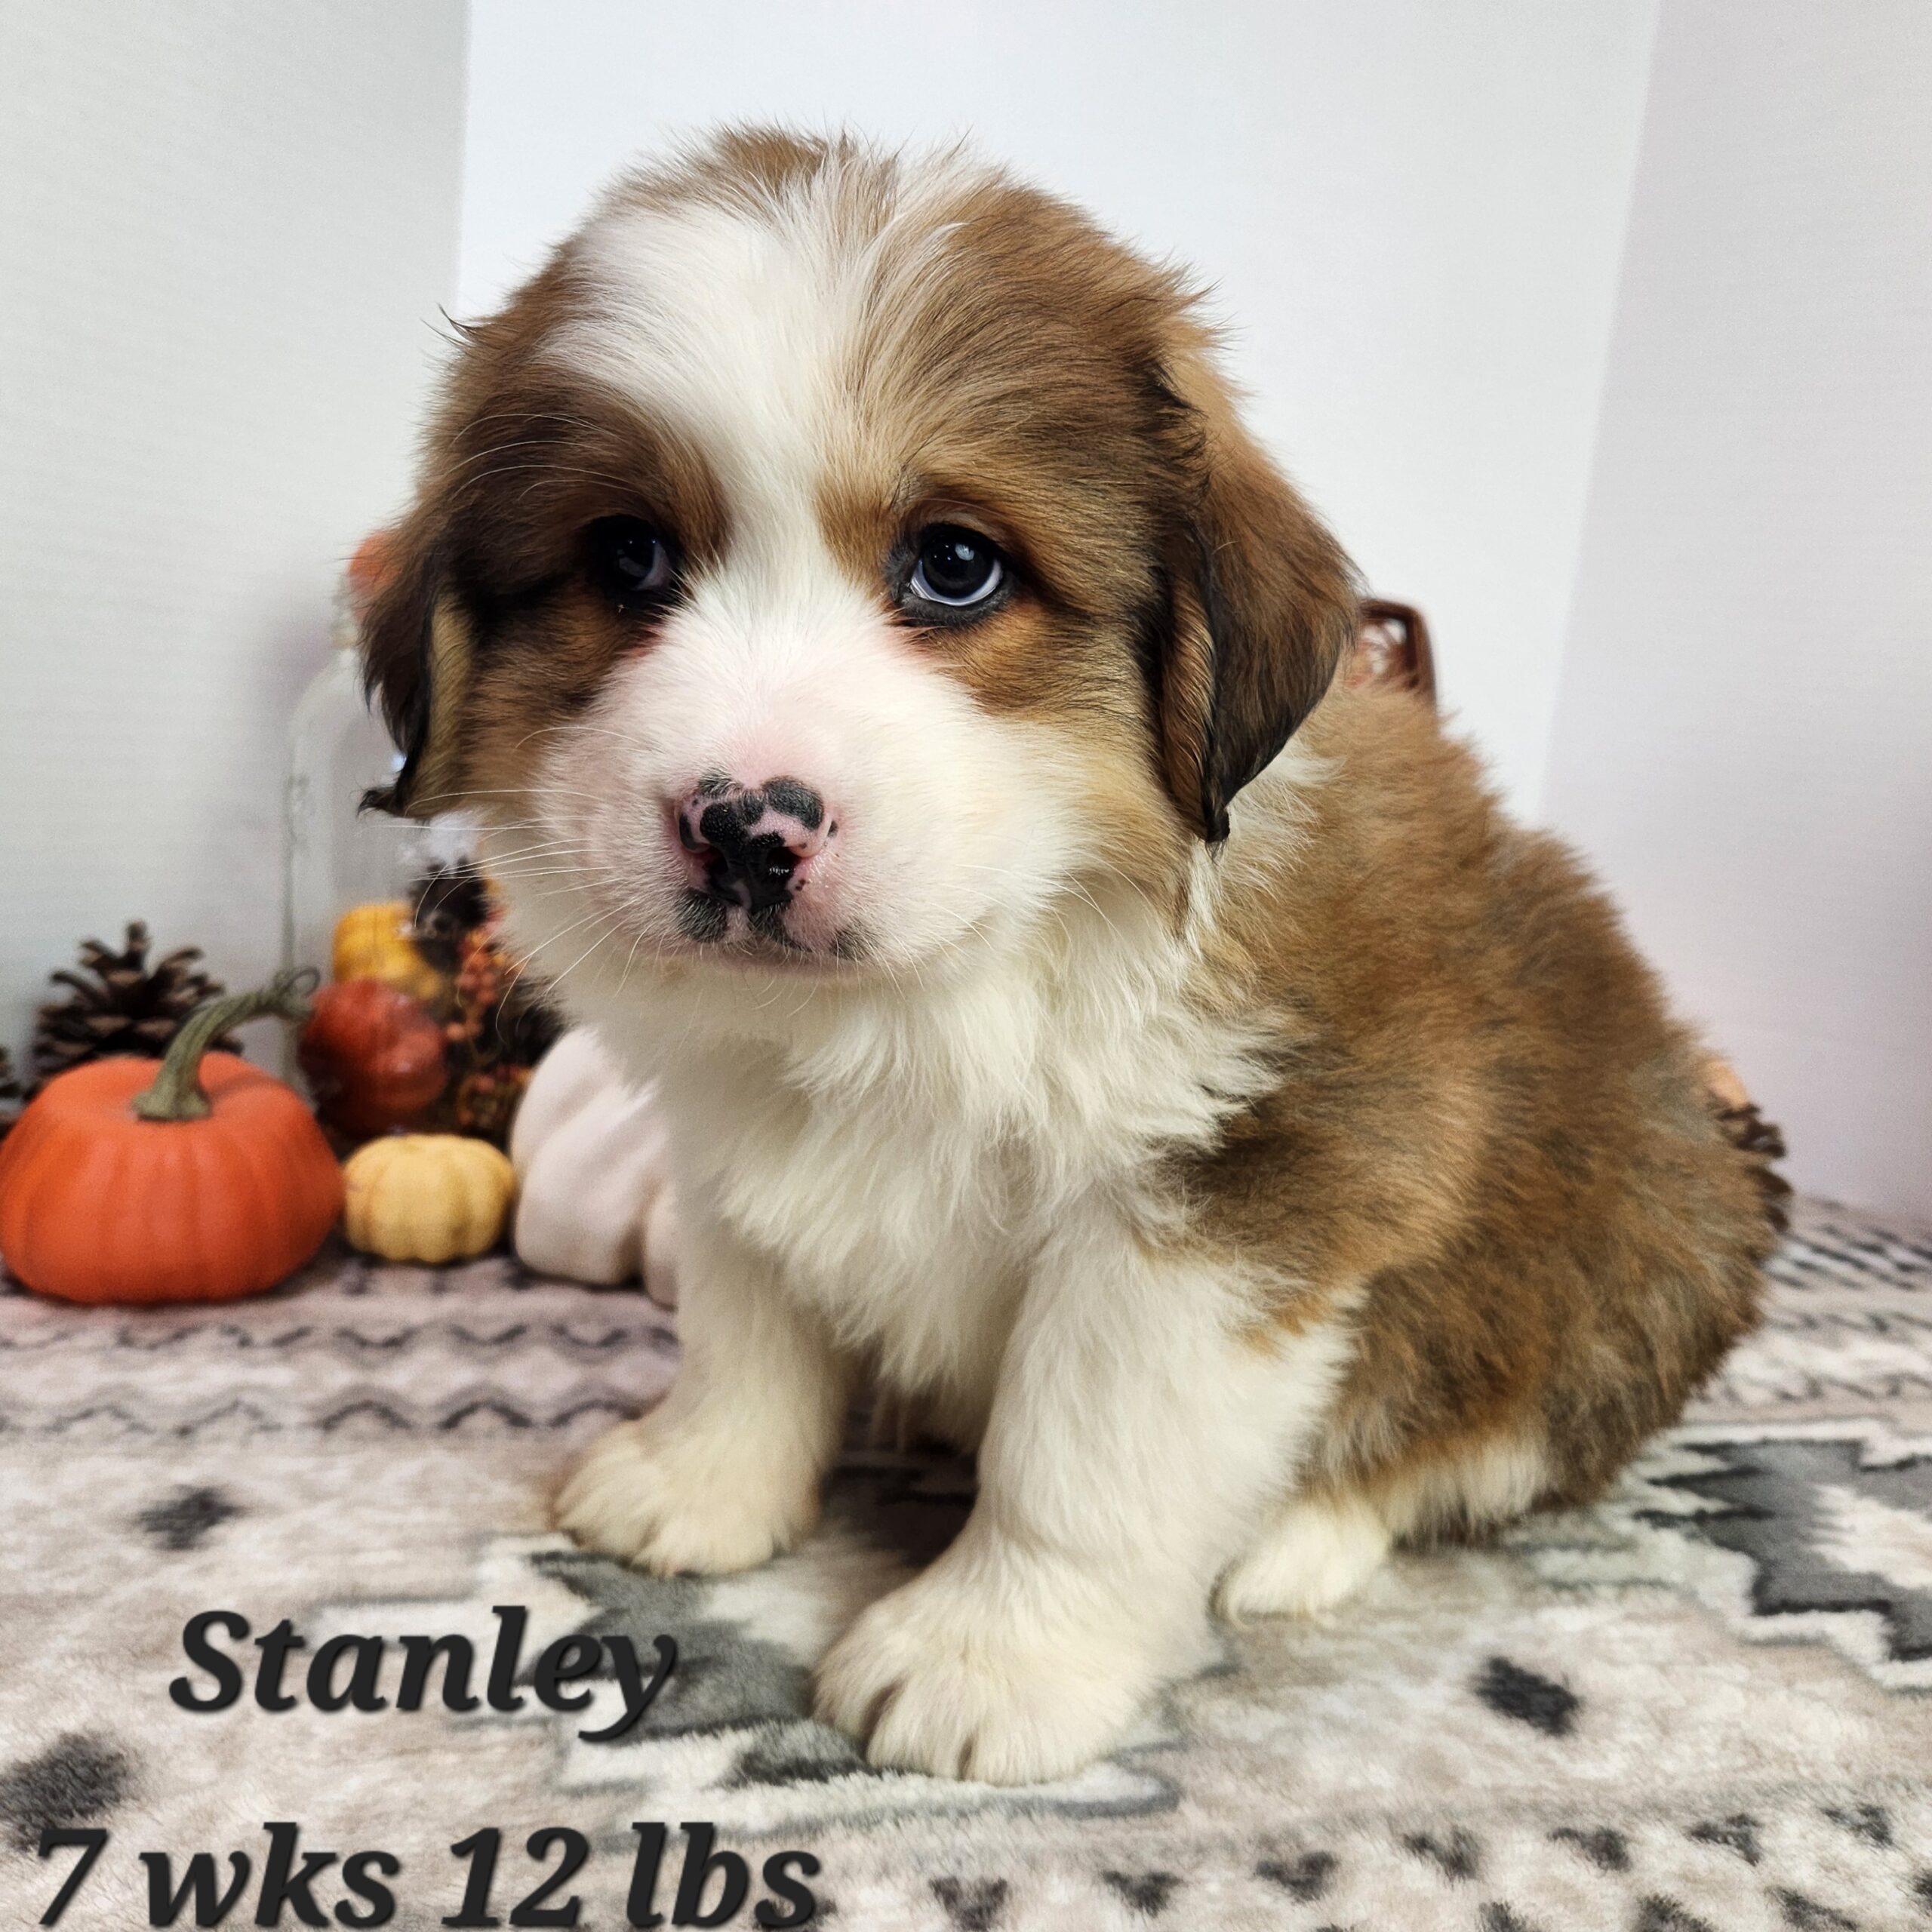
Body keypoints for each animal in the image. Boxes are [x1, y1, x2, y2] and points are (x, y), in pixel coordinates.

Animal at [363, 125, 1777, 1777]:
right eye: (629, 557)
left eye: (956, 565)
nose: (742, 829)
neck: (950, 979)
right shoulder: (731, 1137)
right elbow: (743, 1331)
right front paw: (700, 1481)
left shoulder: (1228, 1190)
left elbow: (1082, 1457)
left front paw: (991, 1656)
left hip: (1646, 1238)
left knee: (1478, 1441)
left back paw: (1297, 1534)